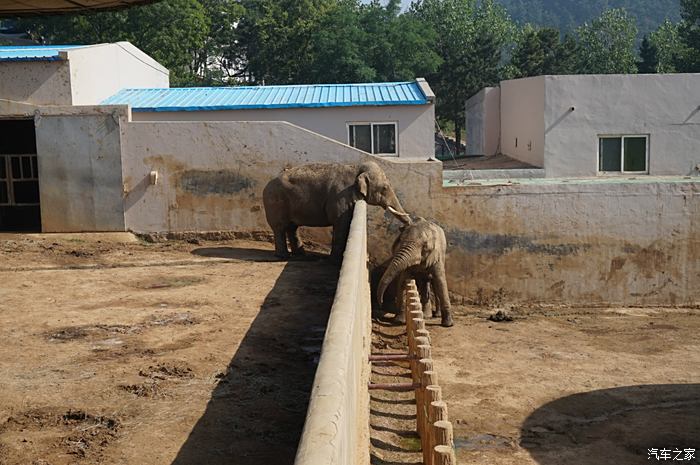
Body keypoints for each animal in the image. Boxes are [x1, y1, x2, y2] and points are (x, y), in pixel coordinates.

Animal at [262, 160, 410, 260]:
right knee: (280, 227)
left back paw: (301, 255)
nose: (407, 225)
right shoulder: (340, 196)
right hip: (275, 203)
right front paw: (335, 260)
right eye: (385, 188)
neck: (357, 167)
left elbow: (347, 222)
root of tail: (266, 185)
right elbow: (340, 223)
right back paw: (283, 256)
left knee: (292, 227)